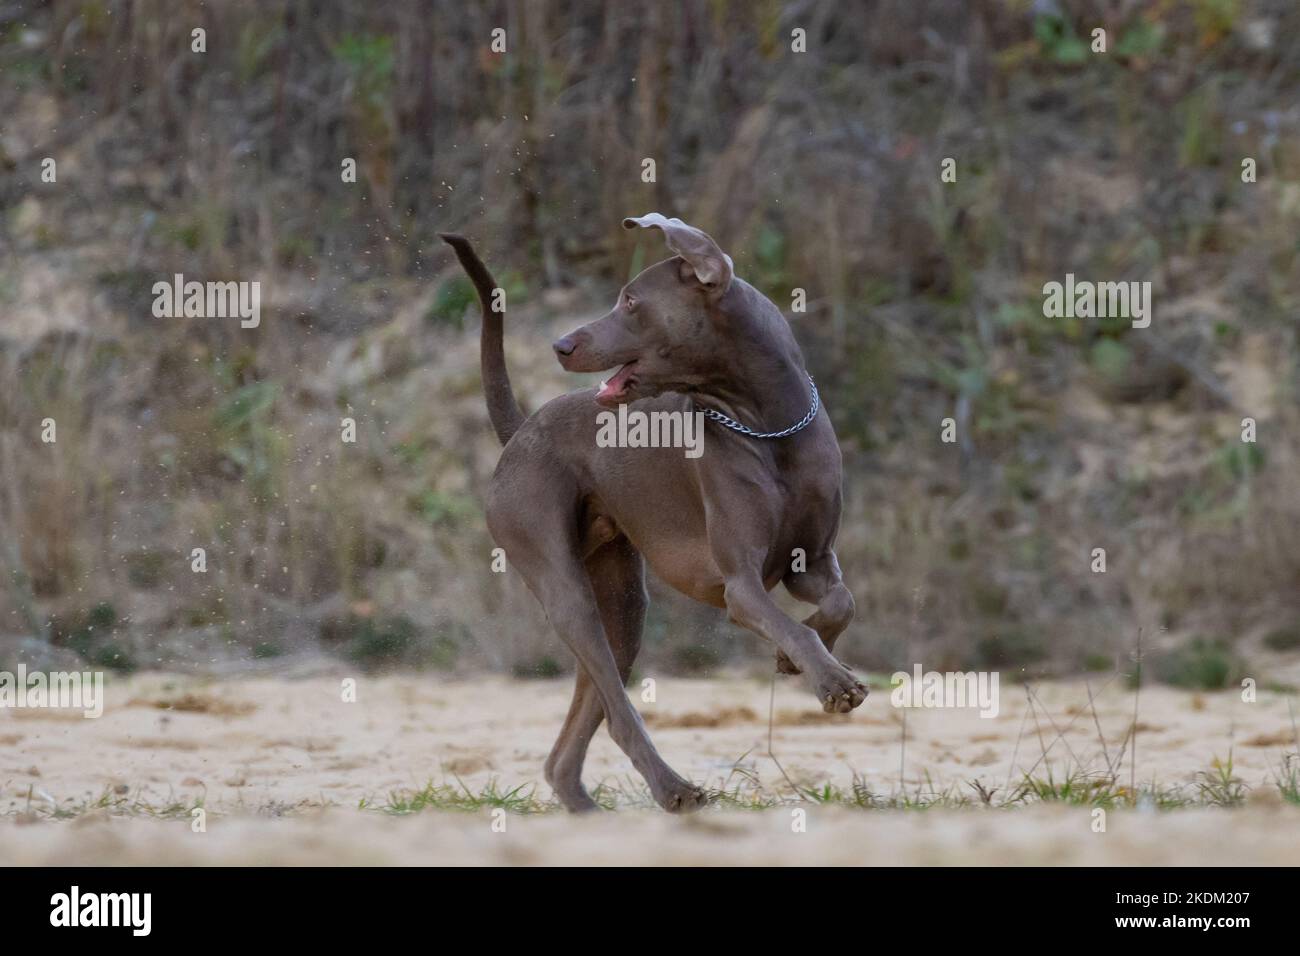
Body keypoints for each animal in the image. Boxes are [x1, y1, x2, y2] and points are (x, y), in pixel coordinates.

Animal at [439, 217, 863, 816]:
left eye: (631, 301)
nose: (560, 344)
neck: (768, 425)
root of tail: (520, 431)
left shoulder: (813, 561)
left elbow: (838, 603)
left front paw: (800, 660)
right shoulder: (740, 585)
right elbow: (790, 625)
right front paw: (830, 681)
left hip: (622, 607)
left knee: (578, 729)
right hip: (561, 582)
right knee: (618, 711)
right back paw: (674, 789)